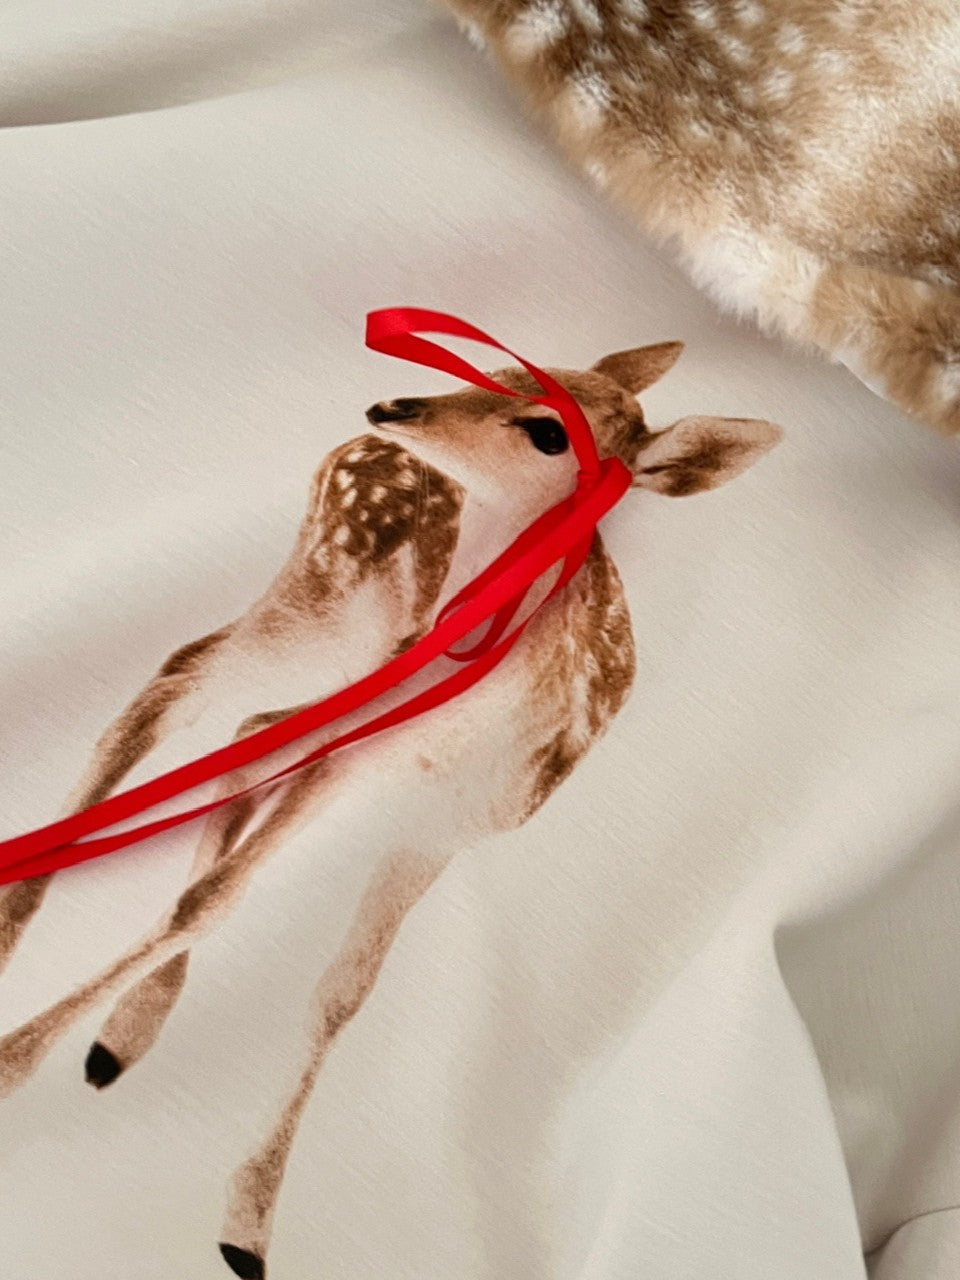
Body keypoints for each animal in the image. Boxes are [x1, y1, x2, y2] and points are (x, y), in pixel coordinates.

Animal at [0, 340, 780, 1278]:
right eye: (500, 369)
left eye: (548, 430)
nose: (398, 405)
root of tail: (352, 449)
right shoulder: (355, 755)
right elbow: (211, 900)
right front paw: (11, 1063)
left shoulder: (442, 829)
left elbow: (345, 989)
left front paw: (247, 1226)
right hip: (324, 595)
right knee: (181, 679)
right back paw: (25, 920)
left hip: (347, 656)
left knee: (244, 726)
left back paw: (125, 1026)